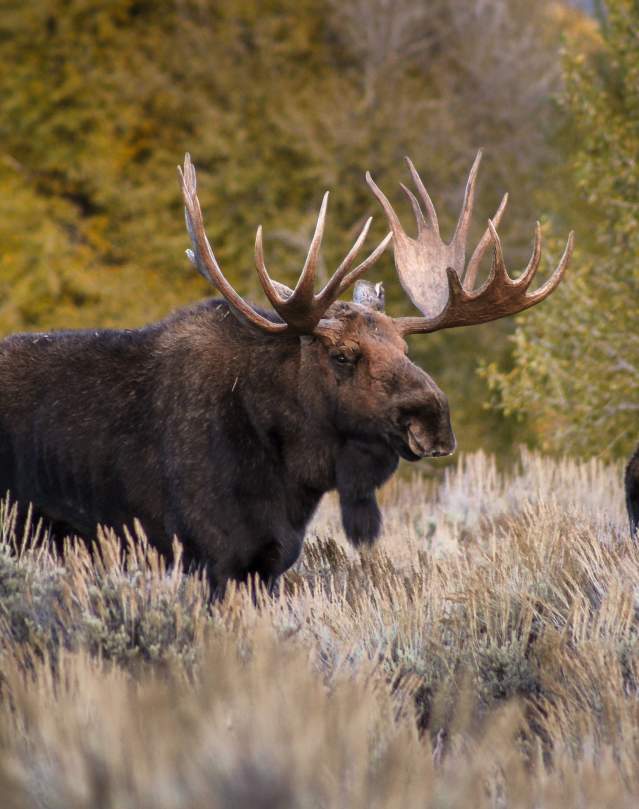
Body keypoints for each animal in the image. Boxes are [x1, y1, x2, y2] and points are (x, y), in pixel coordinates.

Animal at [0, 152, 573, 594]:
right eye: (341, 354)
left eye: (405, 346)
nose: (434, 420)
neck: (290, 474)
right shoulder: (207, 557)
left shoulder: (267, 564)